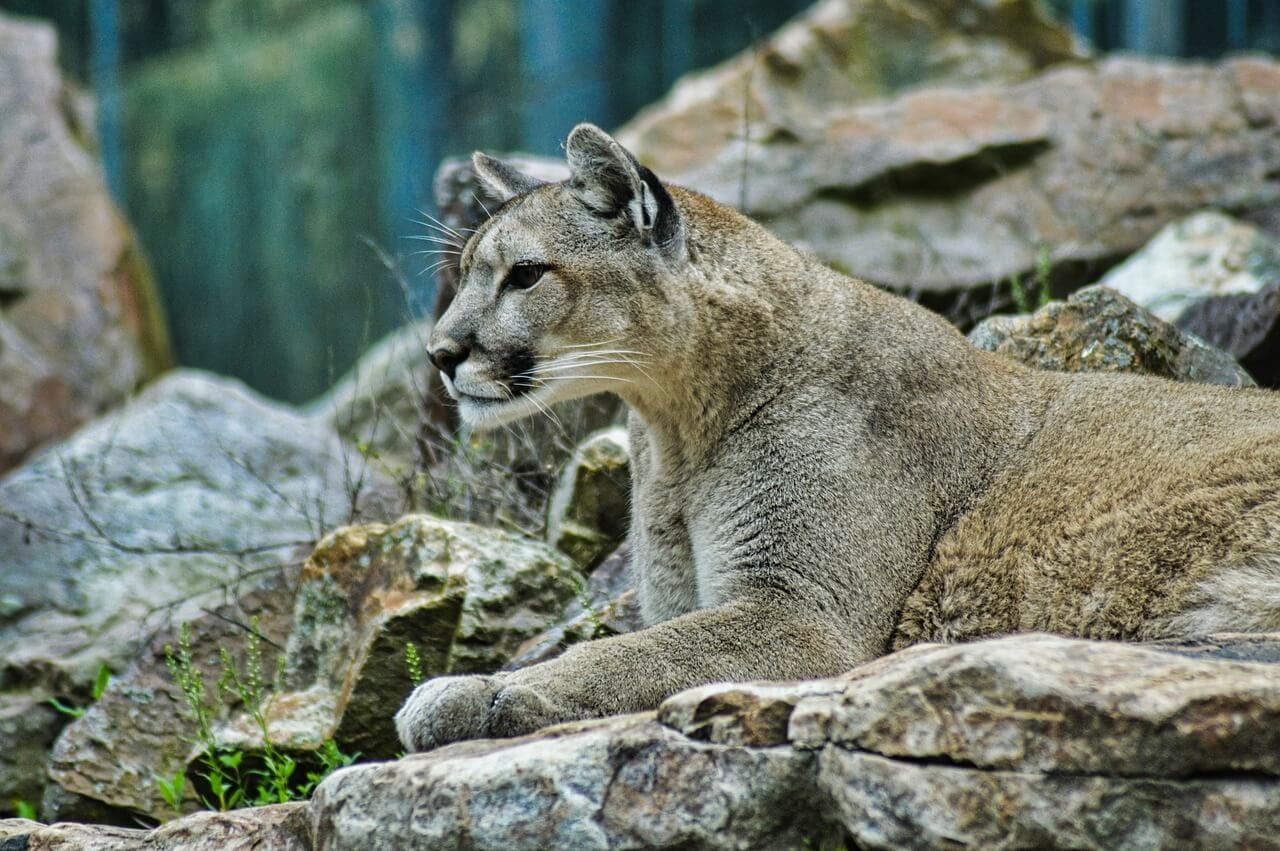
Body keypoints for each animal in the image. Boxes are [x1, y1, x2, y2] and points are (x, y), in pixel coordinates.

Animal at [394, 124, 1280, 752]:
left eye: (525, 274)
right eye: (466, 272)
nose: (440, 353)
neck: (678, 426)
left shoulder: (802, 612)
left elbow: (630, 655)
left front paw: (480, 691)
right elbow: (637, 639)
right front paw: (469, 685)